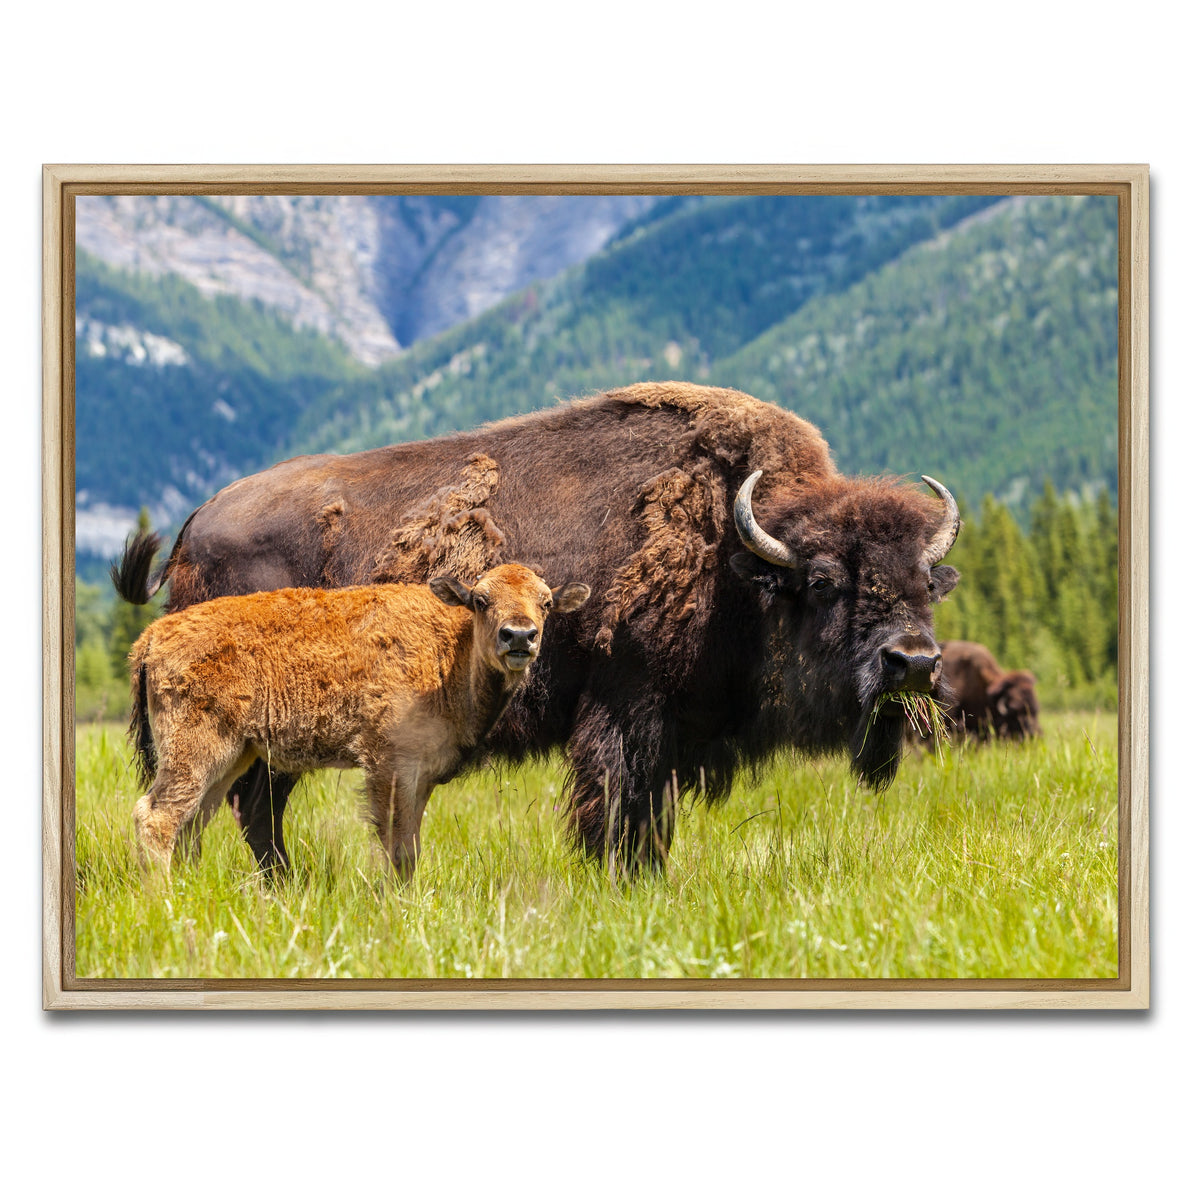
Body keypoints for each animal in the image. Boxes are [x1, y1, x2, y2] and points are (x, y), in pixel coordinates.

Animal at [128, 563, 590, 879]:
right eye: (481, 600)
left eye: (546, 603)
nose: (519, 636)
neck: (451, 651)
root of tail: (153, 635)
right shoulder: (389, 766)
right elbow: (397, 846)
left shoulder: (421, 774)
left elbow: (411, 843)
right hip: (195, 752)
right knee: (157, 817)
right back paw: (164, 897)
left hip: (231, 756)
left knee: (193, 821)